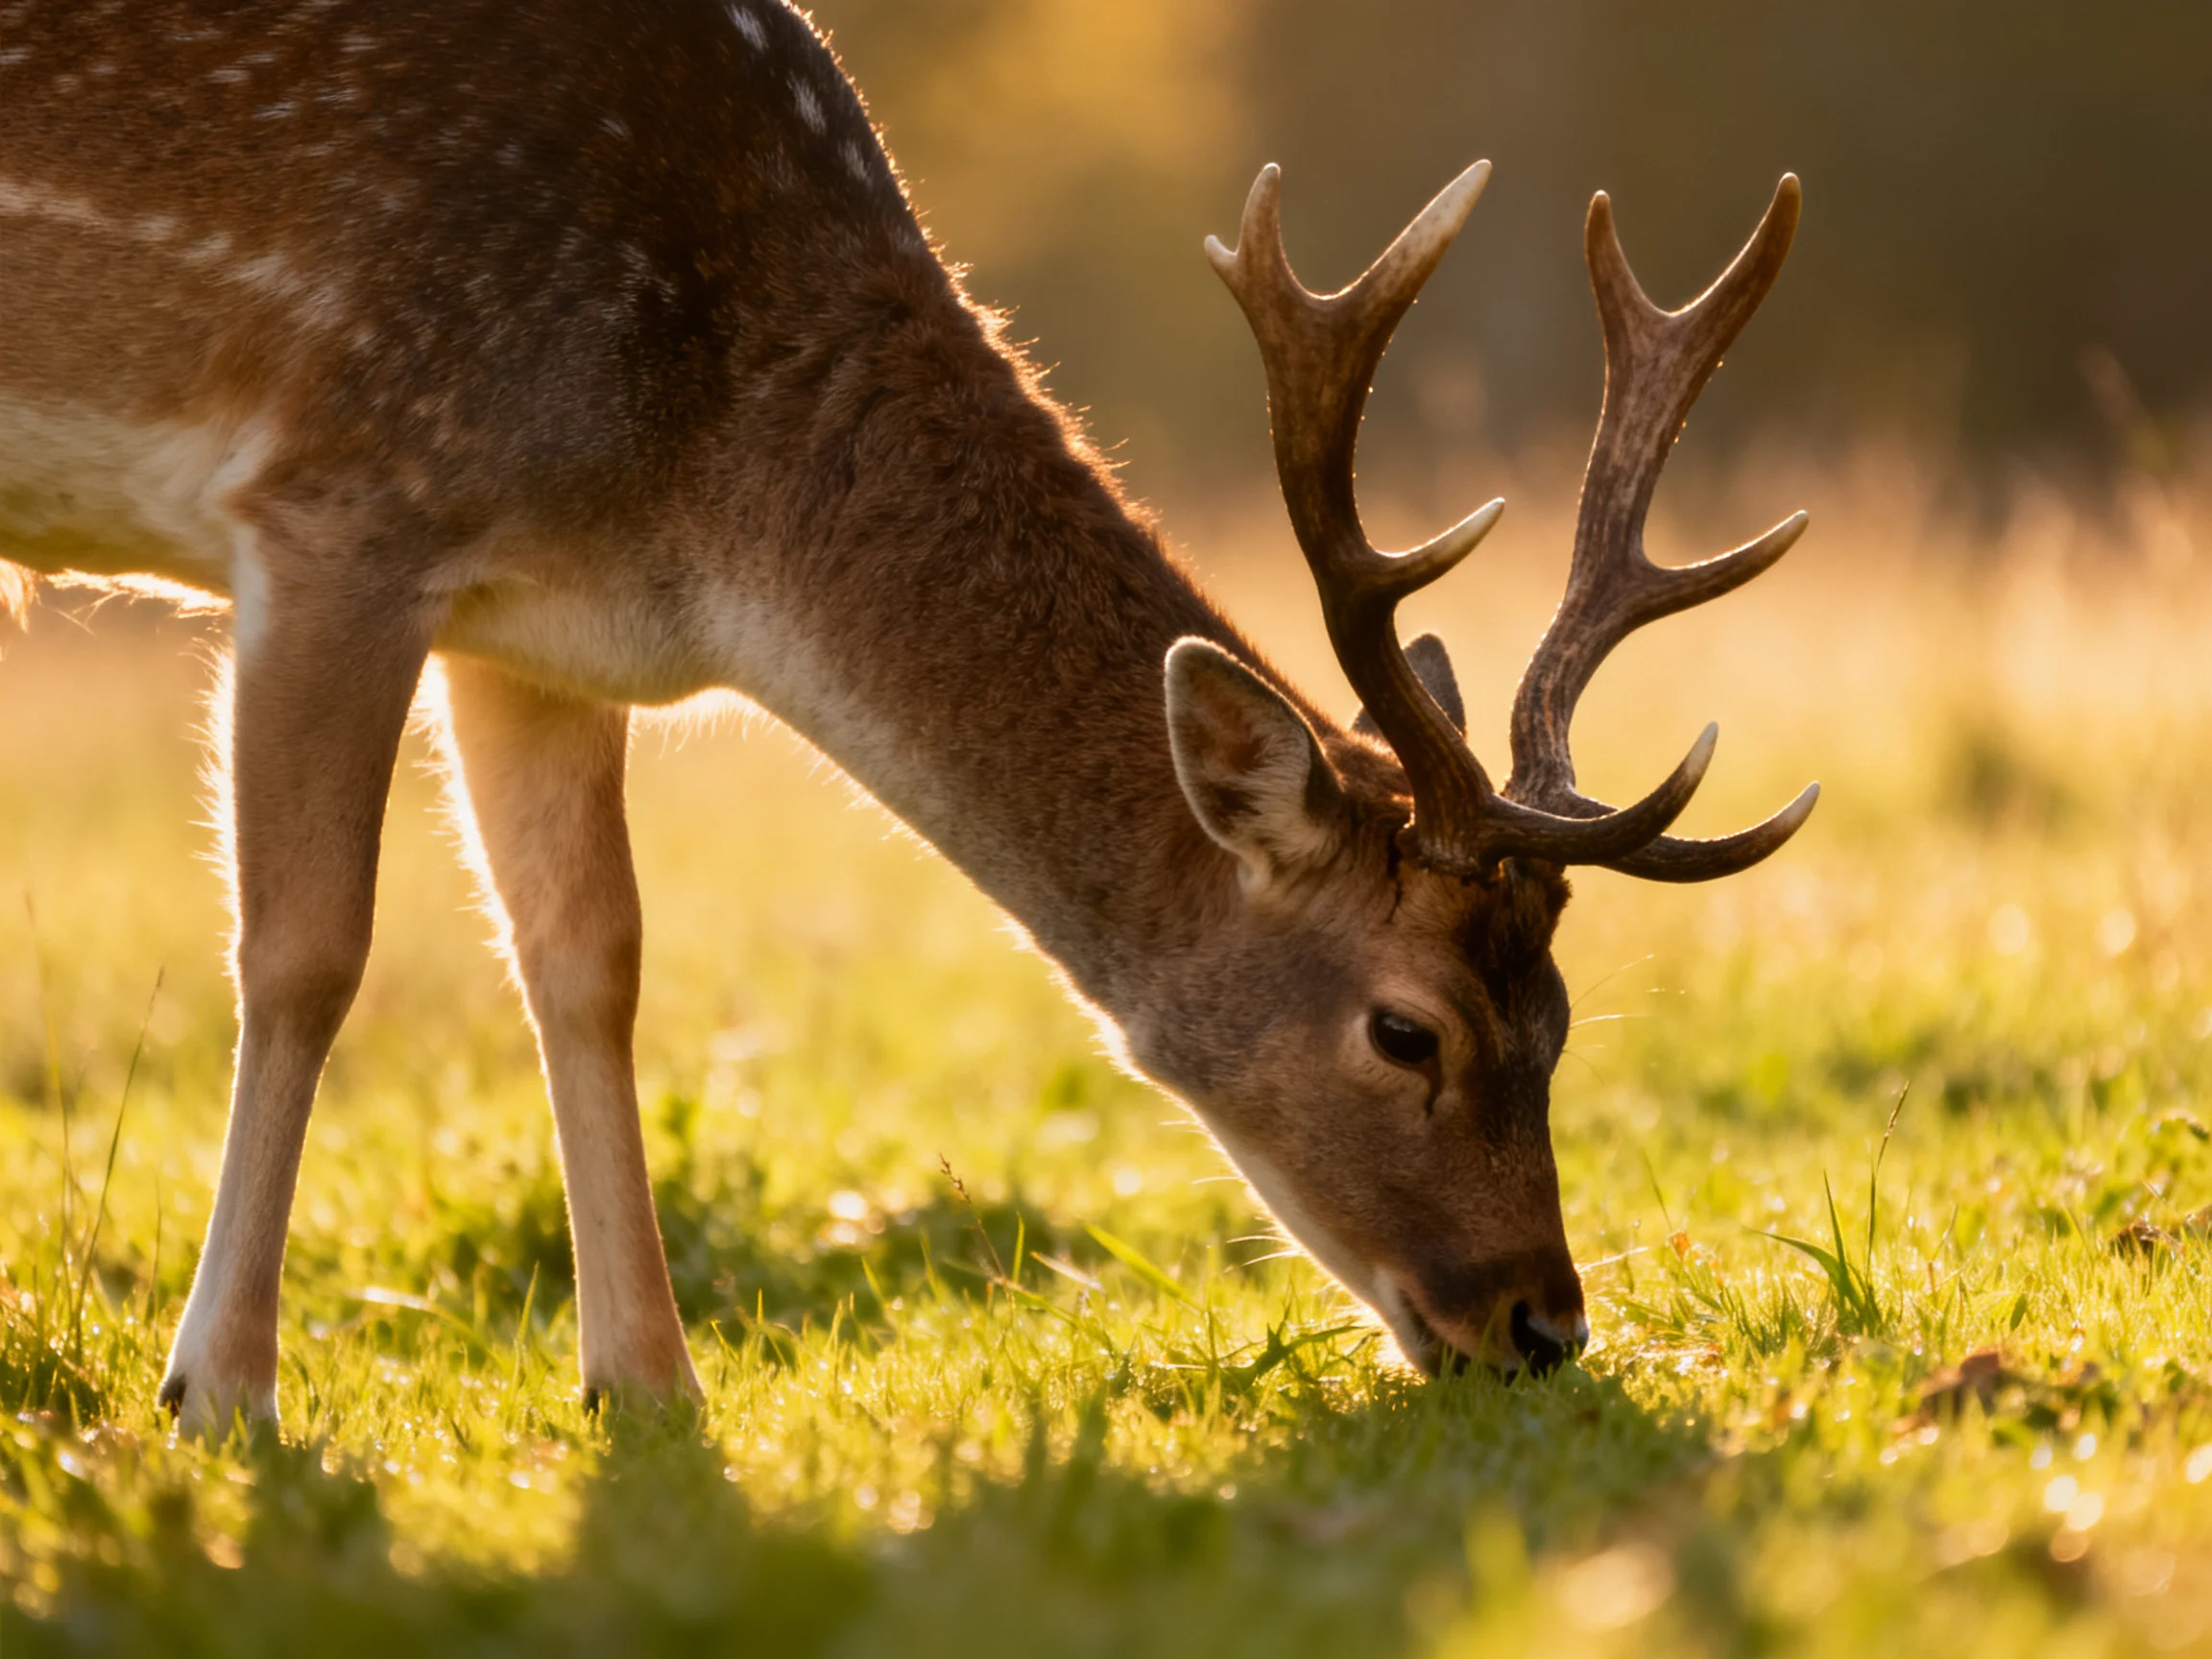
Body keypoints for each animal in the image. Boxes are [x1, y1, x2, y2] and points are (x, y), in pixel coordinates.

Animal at [0, 0, 1816, 1433]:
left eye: (1563, 1017)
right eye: (1405, 1030)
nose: (1542, 1320)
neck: (696, 503)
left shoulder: (534, 632)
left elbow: (588, 960)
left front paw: (647, 1383)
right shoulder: (344, 495)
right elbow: (307, 952)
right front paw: (219, 1388)